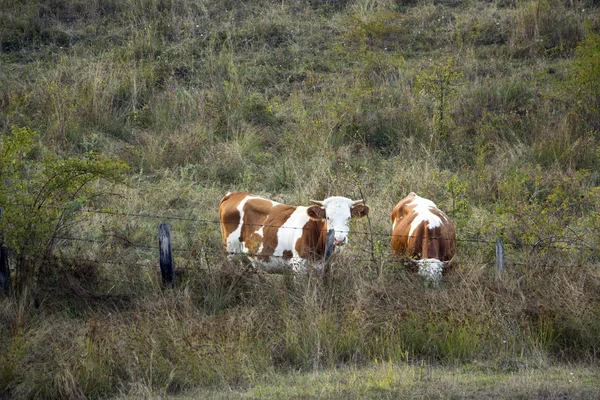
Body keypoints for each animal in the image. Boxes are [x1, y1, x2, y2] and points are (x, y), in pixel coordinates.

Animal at [220, 192, 370, 274]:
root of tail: (233, 194)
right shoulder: (298, 267)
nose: (339, 239)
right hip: (231, 252)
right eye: (328, 217)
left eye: (348, 218)